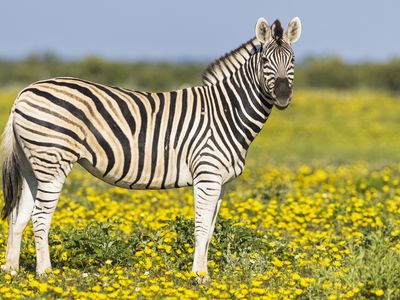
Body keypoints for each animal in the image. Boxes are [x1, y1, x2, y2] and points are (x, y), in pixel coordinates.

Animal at [0, 17, 300, 282]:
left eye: (293, 60)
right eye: (265, 62)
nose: (283, 96)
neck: (226, 113)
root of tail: (24, 92)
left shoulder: (222, 181)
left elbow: (211, 229)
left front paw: (204, 273)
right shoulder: (207, 174)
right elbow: (202, 227)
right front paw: (199, 277)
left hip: (32, 164)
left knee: (19, 215)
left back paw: (13, 271)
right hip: (53, 159)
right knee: (40, 216)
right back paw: (45, 273)